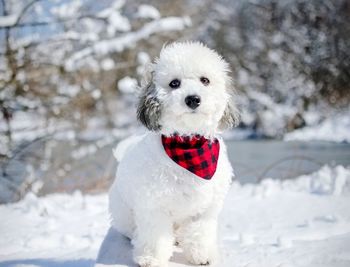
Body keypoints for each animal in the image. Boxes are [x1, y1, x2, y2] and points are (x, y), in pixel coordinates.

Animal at [109, 41, 239, 266]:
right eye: (174, 83)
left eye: (205, 80)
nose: (193, 99)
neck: (188, 144)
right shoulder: (153, 206)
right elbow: (154, 236)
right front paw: (151, 258)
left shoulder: (204, 209)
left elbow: (200, 233)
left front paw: (202, 255)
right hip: (124, 212)